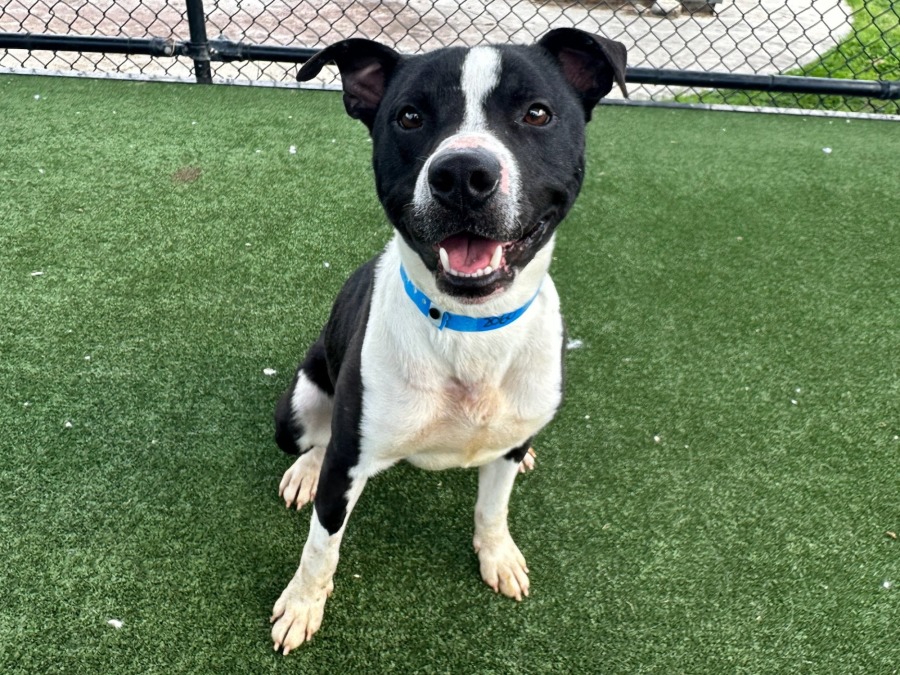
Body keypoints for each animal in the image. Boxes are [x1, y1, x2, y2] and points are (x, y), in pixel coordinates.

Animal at [270, 28, 627, 654]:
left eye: (537, 113)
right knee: (316, 438)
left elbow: (493, 509)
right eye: (410, 117)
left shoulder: (505, 441)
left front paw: (498, 556)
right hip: (298, 406)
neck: (467, 326)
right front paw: (302, 604)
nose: (462, 174)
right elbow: (320, 546)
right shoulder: (347, 463)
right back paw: (304, 471)